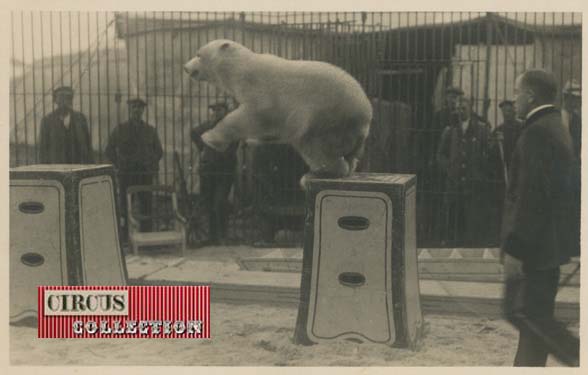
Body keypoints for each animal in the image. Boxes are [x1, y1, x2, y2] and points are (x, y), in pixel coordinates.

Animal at [184, 40, 372, 187]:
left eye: (199, 54)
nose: (186, 67)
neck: (240, 68)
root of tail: (366, 116)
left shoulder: (258, 89)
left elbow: (251, 114)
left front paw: (210, 137)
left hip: (325, 117)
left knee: (313, 144)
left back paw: (321, 172)